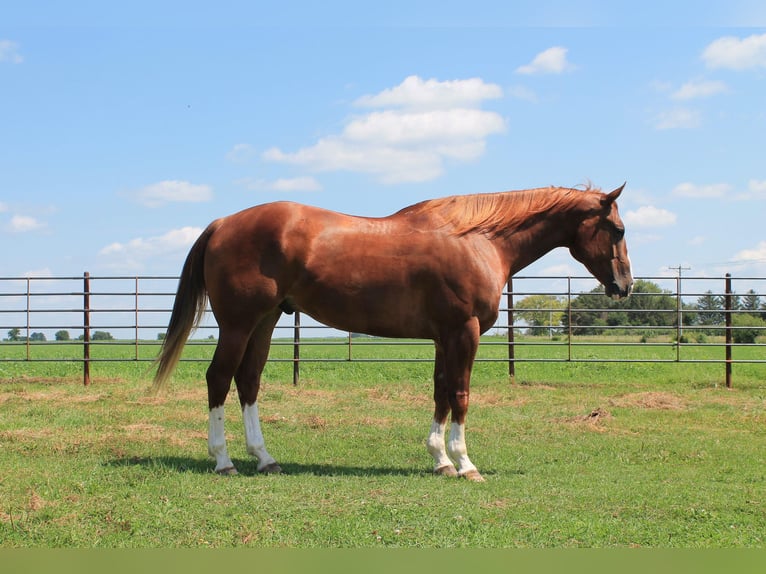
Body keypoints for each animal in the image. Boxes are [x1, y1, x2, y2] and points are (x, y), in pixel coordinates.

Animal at [153, 184, 632, 482]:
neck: (478, 239)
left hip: (266, 320)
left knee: (248, 380)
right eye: (618, 229)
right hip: (238, 323)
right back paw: (223, 461)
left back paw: (265, 458)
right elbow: (460, 395)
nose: (624, 286)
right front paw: (465, 464)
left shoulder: (444, 336)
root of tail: (222, 223)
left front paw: (439, 460)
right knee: (219, 378)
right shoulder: (464, 332)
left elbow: (441, 393)